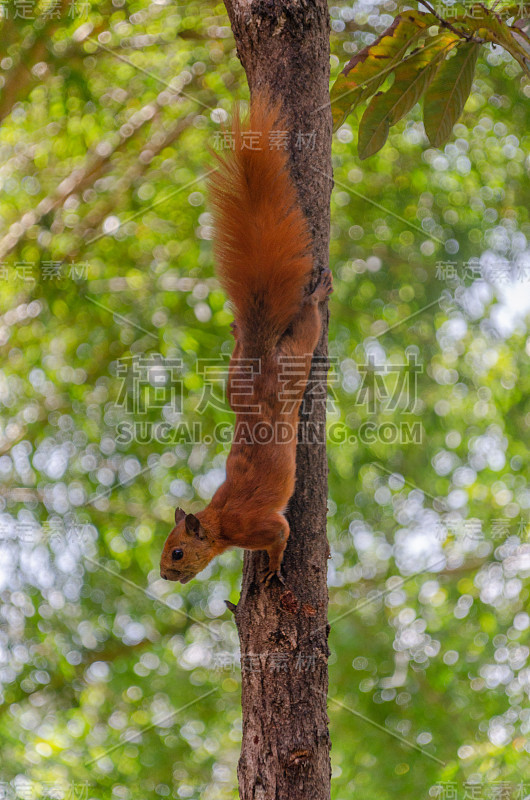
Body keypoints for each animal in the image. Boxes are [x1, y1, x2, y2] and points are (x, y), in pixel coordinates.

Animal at [159, 94, 330, 588]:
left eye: (177, 552)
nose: (164, 576)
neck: (219, 524)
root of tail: (258, 360)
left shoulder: (258, 525)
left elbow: (280, 535)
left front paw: (271, 570)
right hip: (234, 383)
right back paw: (237, 333)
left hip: (291, 366)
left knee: (307, 328)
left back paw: (317, 296)